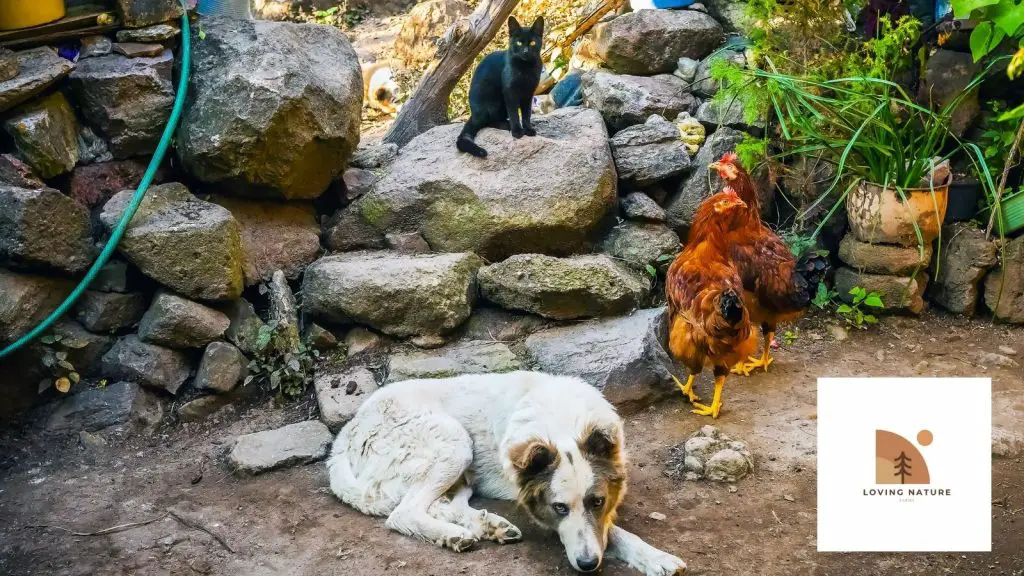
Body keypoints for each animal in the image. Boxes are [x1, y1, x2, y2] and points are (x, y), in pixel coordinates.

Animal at [325, 368, 688, 569]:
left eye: (597, 501)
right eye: (558, 507)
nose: (587, 565)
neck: (561, 424)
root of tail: (347, 431)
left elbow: (612, 531)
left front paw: (656, 558)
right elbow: (609, 533)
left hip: (463, 468)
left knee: (441, 504)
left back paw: (488, 526)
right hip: (455, 441)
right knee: (403, 513)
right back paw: (455, 535)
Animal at [452, 16, 540, 157]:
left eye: (532, 43)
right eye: (519, 43)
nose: (526, 51)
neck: (526, 68)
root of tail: (473, 115)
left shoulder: (529, 93)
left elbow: (527, 113)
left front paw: (528, 129)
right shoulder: (510, 92)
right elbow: (514, 113)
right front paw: (517, 132)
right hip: (493, 100)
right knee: (488, 122)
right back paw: (507, 125)